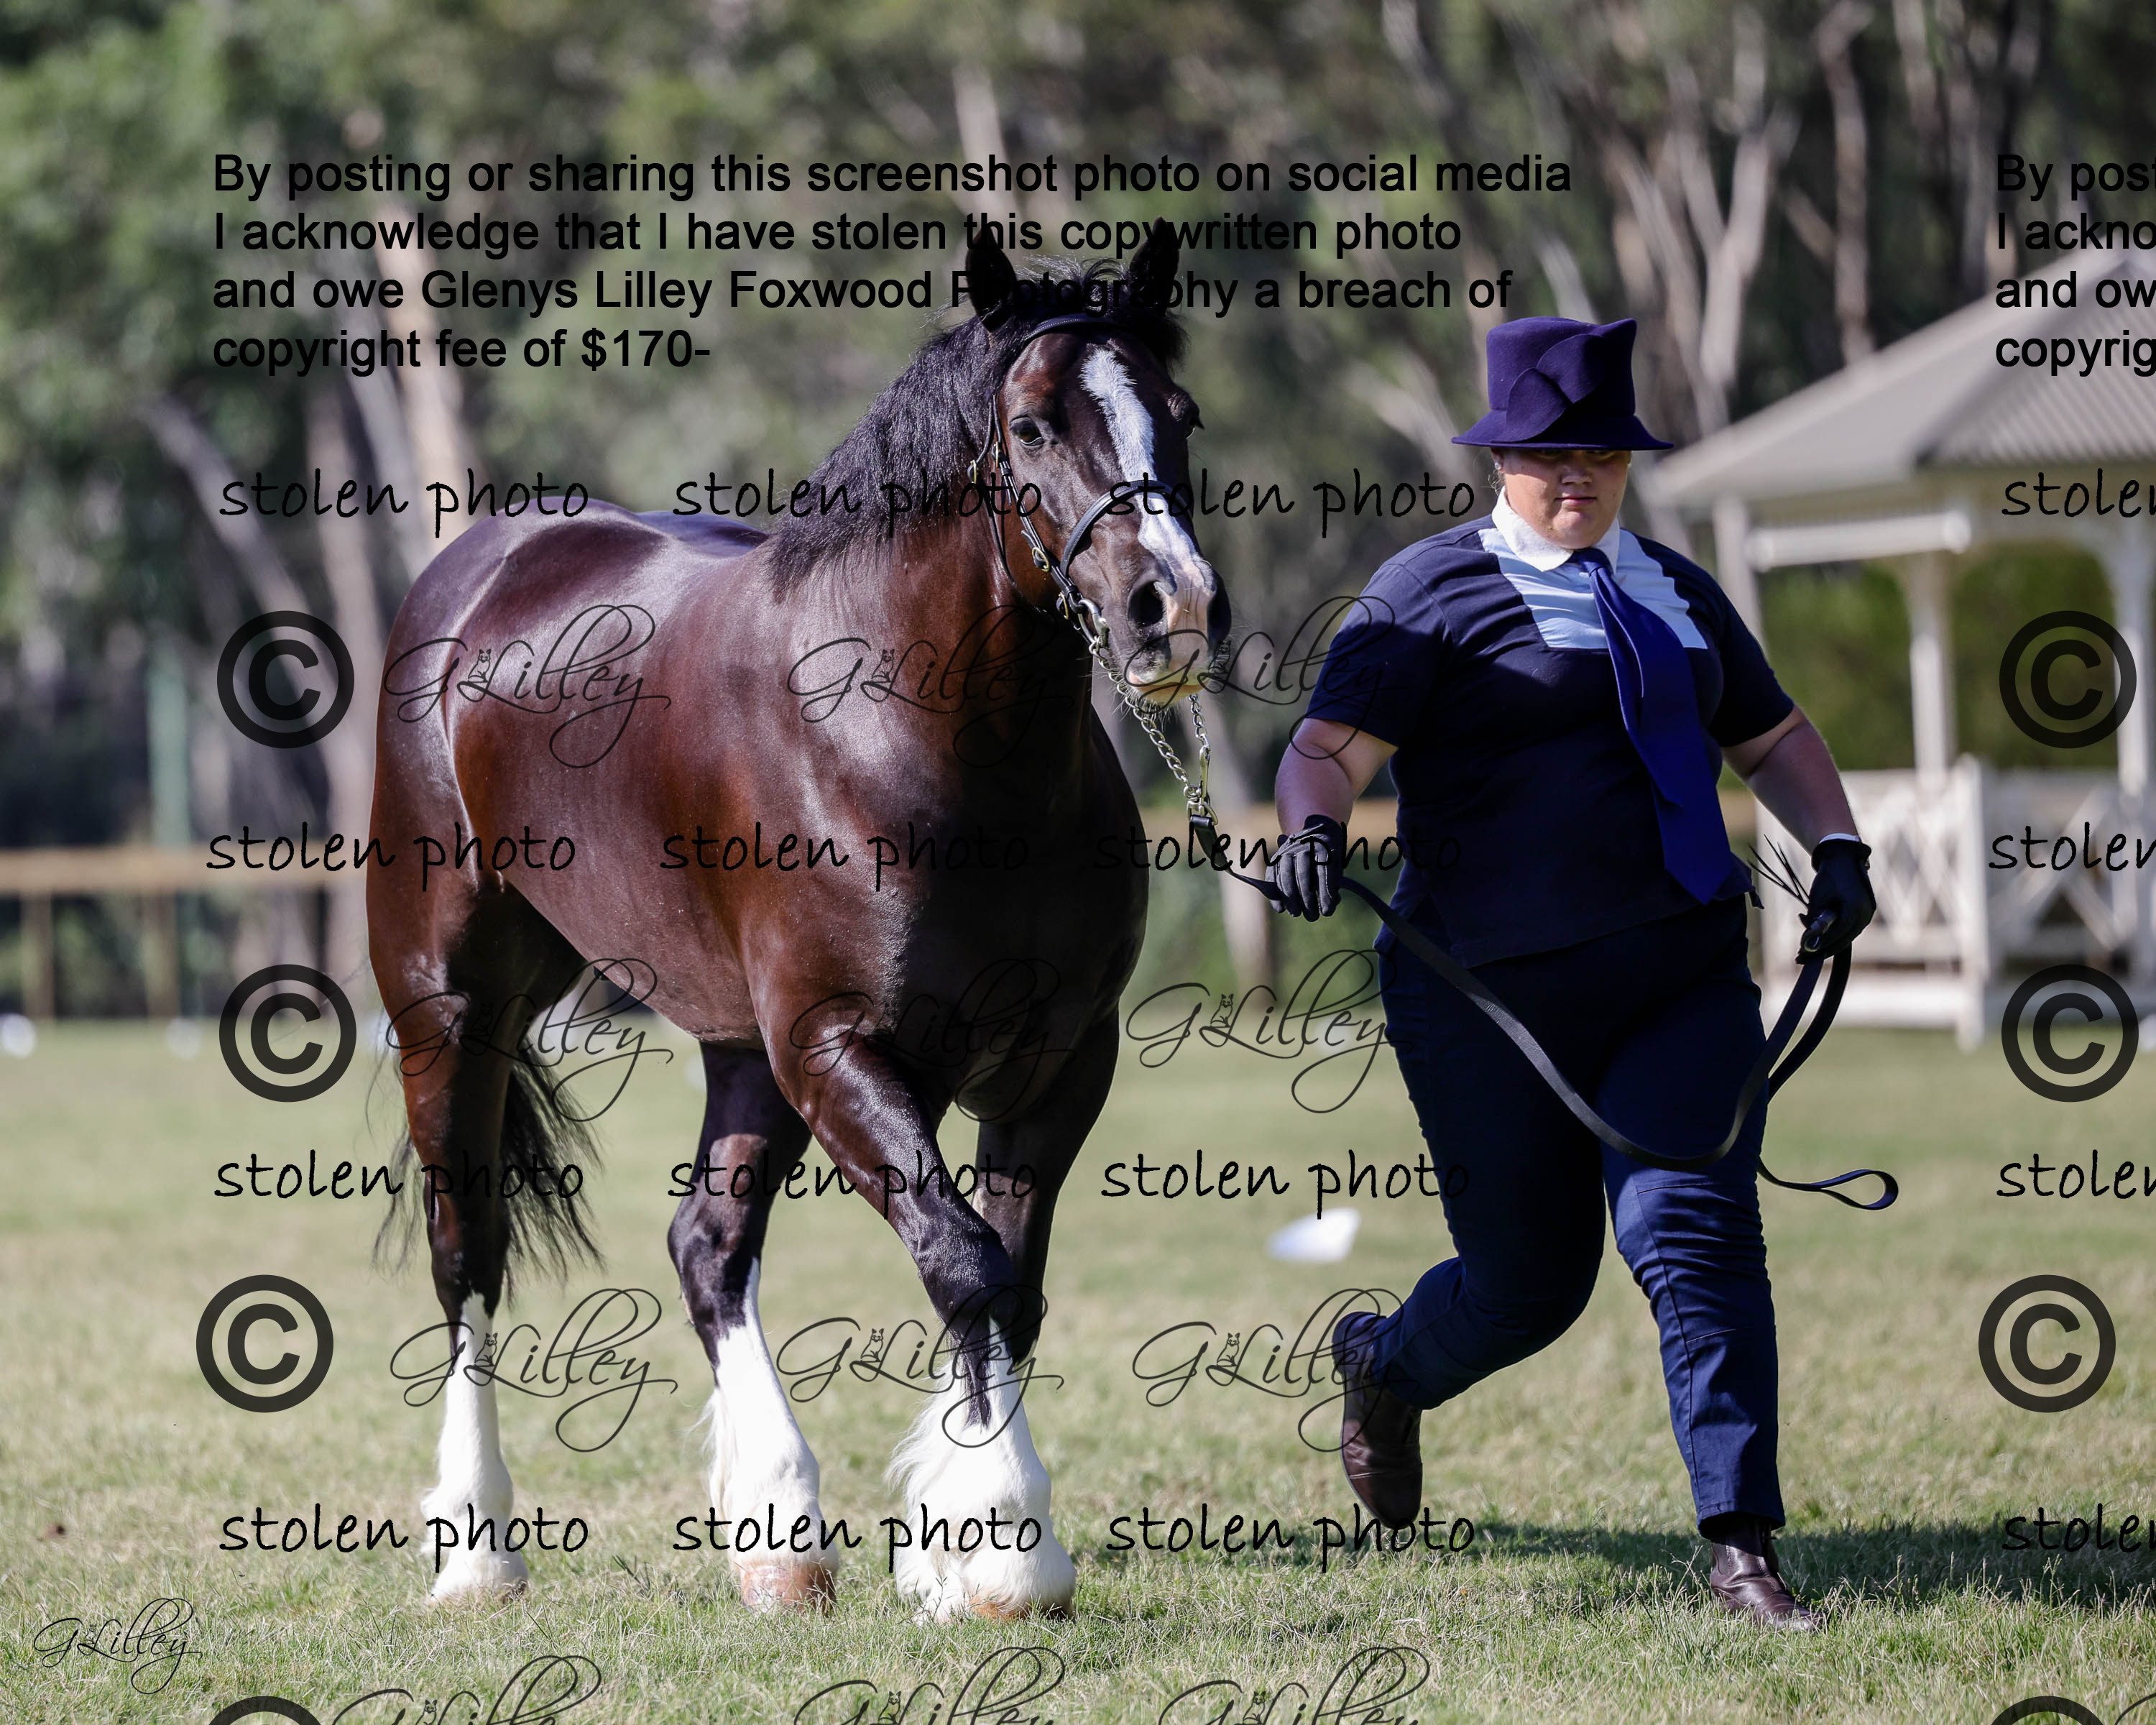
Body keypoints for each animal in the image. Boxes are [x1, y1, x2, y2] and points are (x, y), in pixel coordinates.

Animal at [366, 220, 1228, 1621]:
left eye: (1181, 414)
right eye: (1033, 425)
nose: (1175, 607)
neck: (921, 740)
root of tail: (481, 569)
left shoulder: (1057, 1065)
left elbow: (1012, 1277)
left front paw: (949, 1542)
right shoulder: (839, 1049)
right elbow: (965, 1259)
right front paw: (1009, 1540)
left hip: (738, 1054)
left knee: (706, 1246)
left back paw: (778, 1536)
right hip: (452, 1006)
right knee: (469, 1253)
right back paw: (478, 1551)